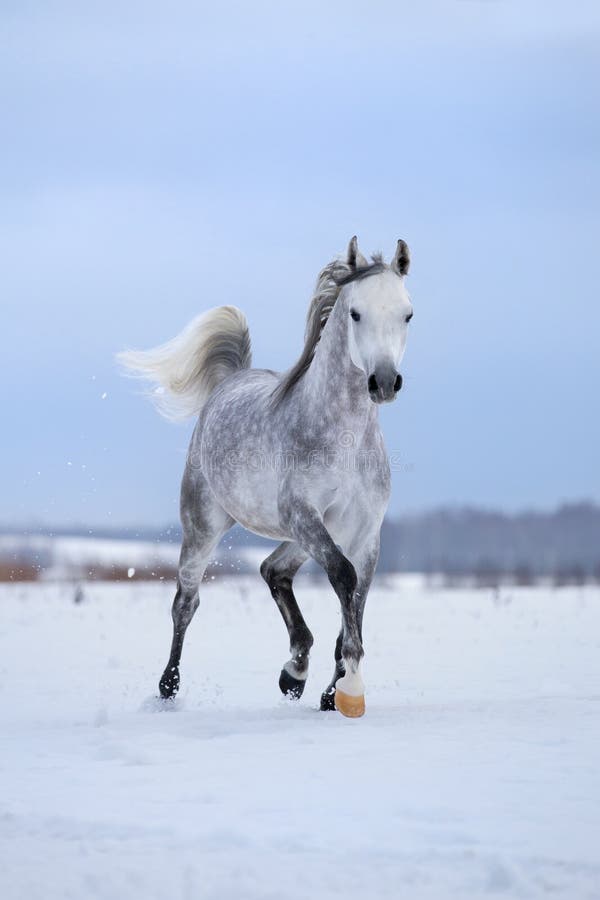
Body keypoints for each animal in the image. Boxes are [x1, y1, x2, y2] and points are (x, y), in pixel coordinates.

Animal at [120, 236, 414, 712]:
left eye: (407, 313)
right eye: (355, 313)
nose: (384, 382)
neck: (345, 439)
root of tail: (230, 380)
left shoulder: (364, 532)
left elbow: (356, 597)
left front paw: (332, 692)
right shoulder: (303, 514)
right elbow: (343, 576)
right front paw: (350, 689)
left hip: (301, 536)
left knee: (273, 570)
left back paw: (294, 672)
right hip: (206, 526)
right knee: (186, 601)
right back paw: (168, 687)